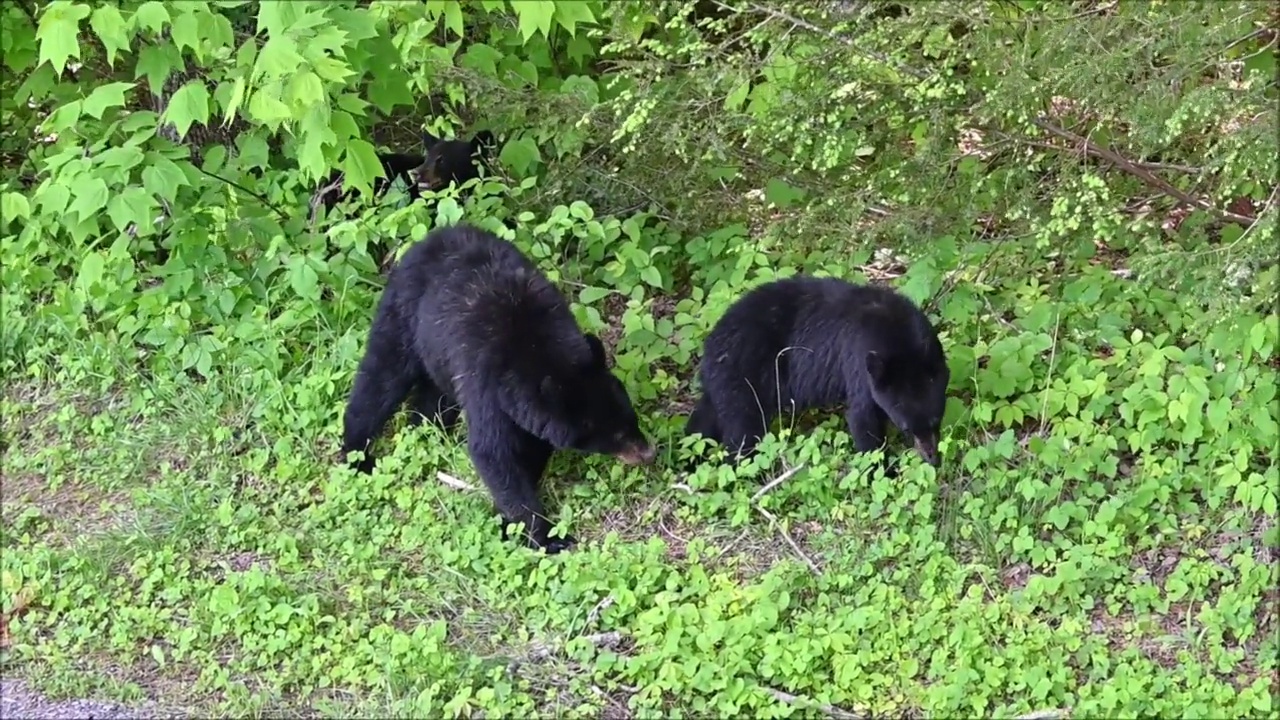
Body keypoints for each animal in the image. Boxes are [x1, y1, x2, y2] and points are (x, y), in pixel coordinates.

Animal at [340, 221, 655, 550]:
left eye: (631, 418)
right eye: (616, 434)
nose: (649, 453)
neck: (538, 352)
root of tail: (429, 237)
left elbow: (528, 449)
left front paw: (510, 522)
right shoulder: (486, 387)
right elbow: (493, 454)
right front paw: (546, 536)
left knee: (434, 395)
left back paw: (426, 429)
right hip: (404, 314)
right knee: (381, 376)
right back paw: (357, 453)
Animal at [686, 275, 947, 471]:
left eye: (936, 419)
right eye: (906, 427)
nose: (933, 458)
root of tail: (710, 346)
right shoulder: (858, 363)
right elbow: (863, 417)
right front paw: (881, 470)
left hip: (723, 384)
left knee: (706, 419)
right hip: (743, 377)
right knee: (743, 430)